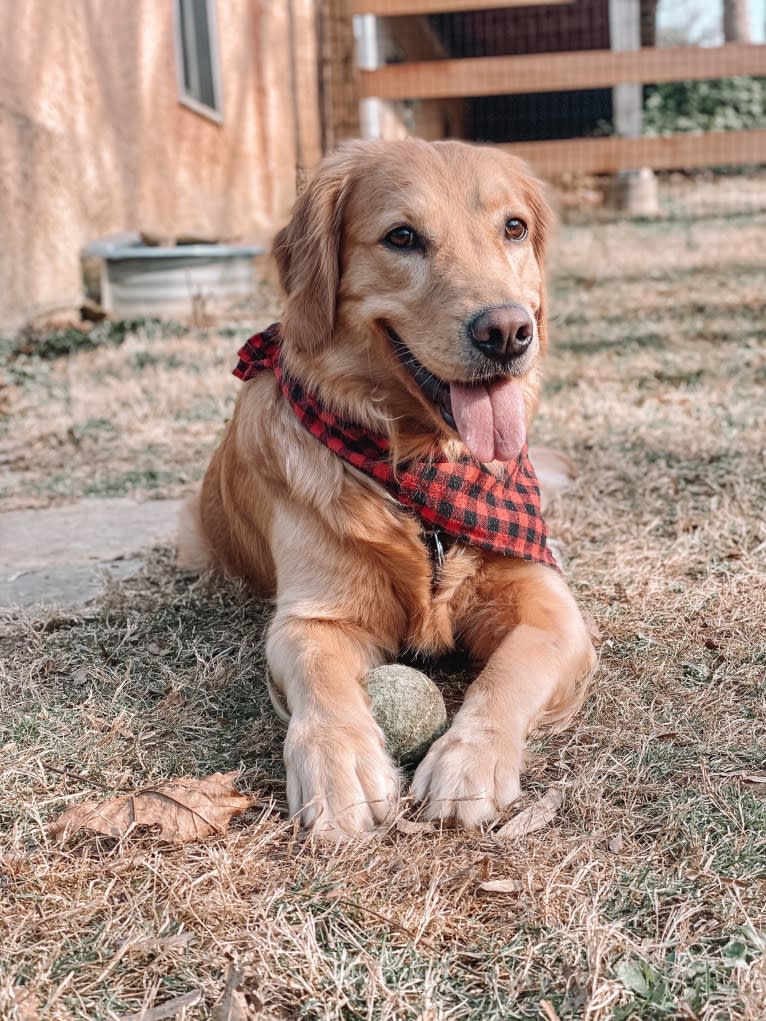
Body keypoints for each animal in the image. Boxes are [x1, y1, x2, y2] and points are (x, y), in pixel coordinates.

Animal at [181, 137, 600, 837]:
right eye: (402, 237)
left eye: (513, 228)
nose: (508, 332)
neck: (423, 470)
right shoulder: (313, 616)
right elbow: (320, 677)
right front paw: (340, 765)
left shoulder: (550, 610)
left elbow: (511, 672)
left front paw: (470, 758)